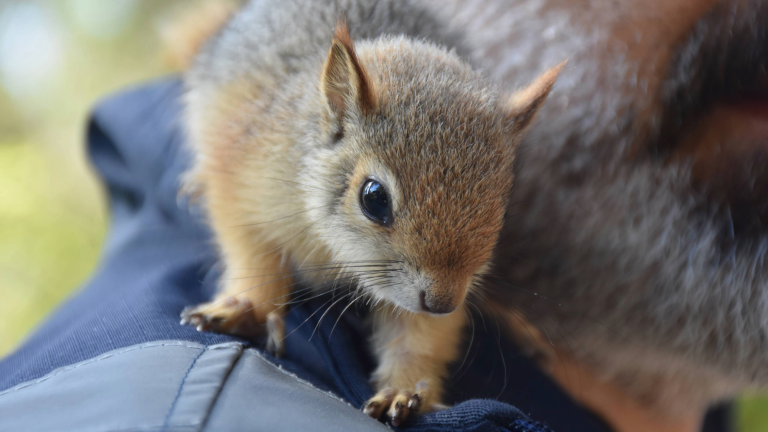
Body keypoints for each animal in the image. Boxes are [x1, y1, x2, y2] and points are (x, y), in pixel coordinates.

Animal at [173, 0, 562, 425]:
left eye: (501, 206)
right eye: (374, 198)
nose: (442, 303)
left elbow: (421, 335)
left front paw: (404, 389)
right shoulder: (241, 176)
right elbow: (250, 251)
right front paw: (248, 308)